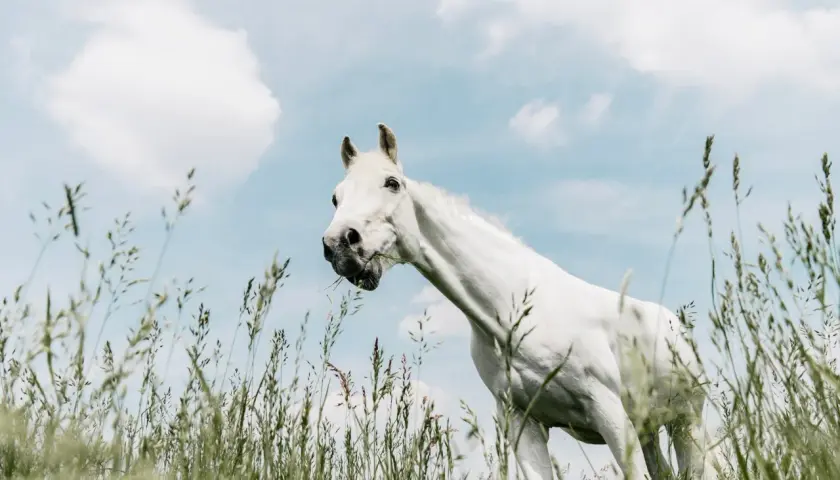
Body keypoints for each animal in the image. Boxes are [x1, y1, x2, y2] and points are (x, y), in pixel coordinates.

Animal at [320, 123, 719, 479]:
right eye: (336, 196)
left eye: (392, 183)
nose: (340, 244)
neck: (512, 310)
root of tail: (673, 323)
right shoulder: (522, 424)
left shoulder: (611, 416)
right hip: (650, 429)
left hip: (686, 423)